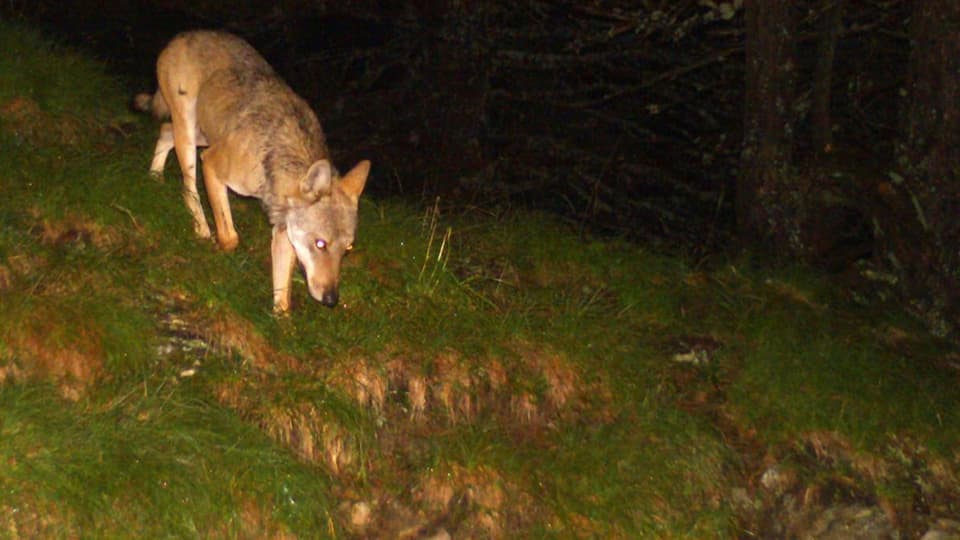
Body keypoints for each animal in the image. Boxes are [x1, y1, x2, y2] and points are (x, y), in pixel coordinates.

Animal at [139, 30, 372, 312]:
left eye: (347, 249)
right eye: (320, 244)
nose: (331, 300)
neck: (272, 158)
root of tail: (183, 35)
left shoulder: (284, 230)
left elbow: (282, 296)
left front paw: (280, 319)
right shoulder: (212, 164)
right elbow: (230, 237)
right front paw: (219, 247)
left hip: (203, 135)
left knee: (164, 131)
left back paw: (154, 177)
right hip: (192, 138)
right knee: (188, 185)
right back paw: (201, 229)